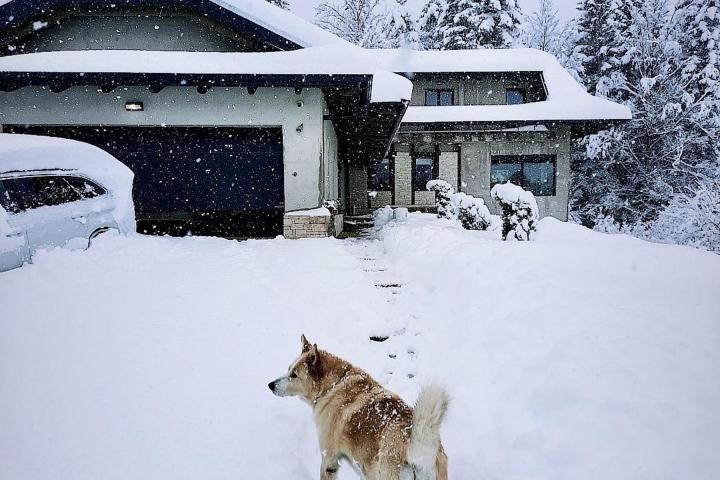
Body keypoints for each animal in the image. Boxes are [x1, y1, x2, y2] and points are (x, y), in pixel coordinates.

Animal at [268, 334, 448, 480]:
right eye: (288, 369)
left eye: (294, 375)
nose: (270, 385)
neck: (334, 385)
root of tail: (420, 448)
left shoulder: (329, 459)